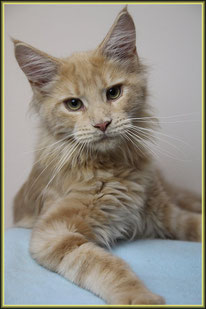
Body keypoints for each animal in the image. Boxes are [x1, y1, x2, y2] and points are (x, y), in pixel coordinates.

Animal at [12, 6, 201, 304]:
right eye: (73, 104)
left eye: (113, 93)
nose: (102, 124)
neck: (111, 168)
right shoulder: (54, 234)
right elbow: (108, 266)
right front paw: (140, 297)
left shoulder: (167, 213)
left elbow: (196, 224)